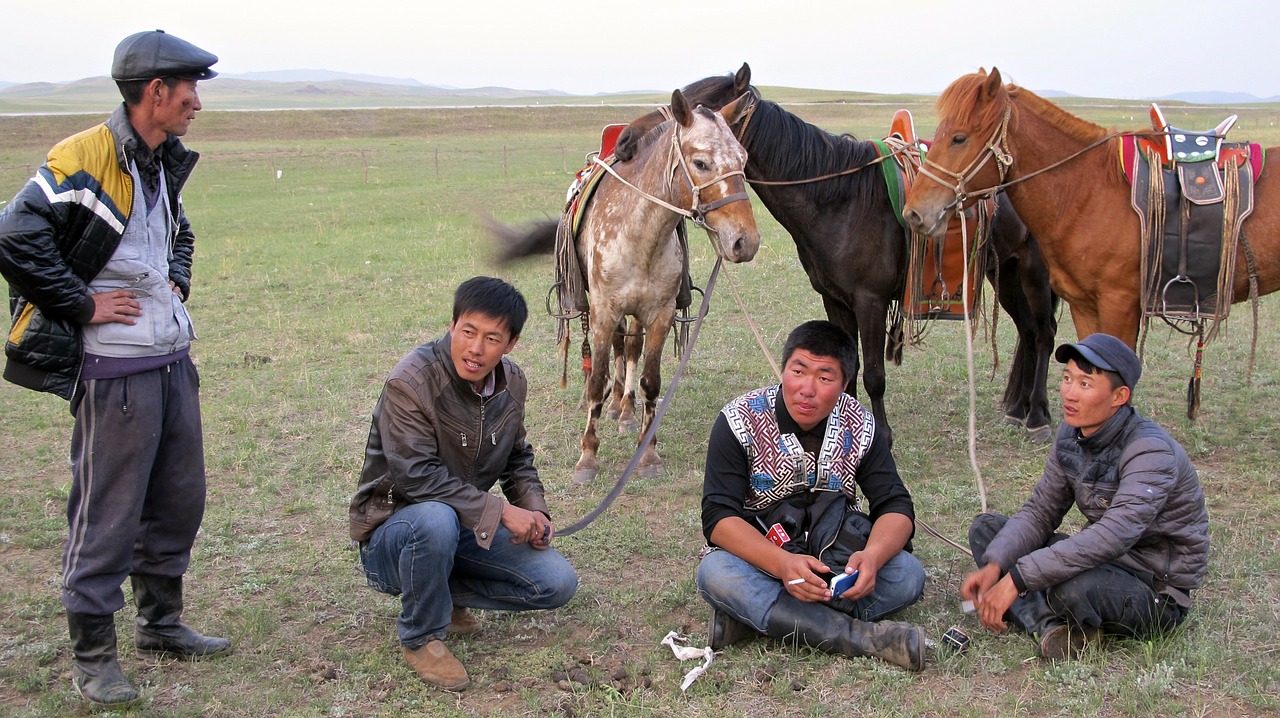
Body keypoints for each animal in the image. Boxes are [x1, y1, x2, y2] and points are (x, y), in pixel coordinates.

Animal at [488, 88, 757, 481]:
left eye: (743, 158)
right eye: (701, 162)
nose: (745, 241)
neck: (639, 233)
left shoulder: (660, 315)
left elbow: (650, 381)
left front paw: (648, 454)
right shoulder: (604, 311)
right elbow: (597, 379)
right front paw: (587, 456)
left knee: (630, 348)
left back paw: (626, 411)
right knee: (617, 349)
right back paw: (615, 406)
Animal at [611, 64, 1059, 440]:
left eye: (695, 105)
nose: (626, 140)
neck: (841, 200)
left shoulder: (870, 300)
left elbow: (874, 373)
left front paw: (882, 436)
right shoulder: (835, 299)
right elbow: (849, 368)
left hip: (1035, 271)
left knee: (1045, 333)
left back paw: (1038, 414)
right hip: (1007, 272)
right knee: (1028, 331)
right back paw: (1017, 408)